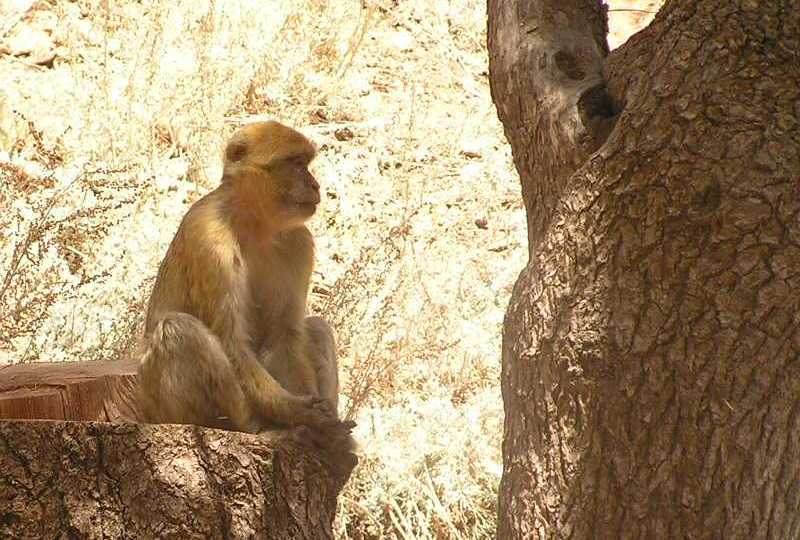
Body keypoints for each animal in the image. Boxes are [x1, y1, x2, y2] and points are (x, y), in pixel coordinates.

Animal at [137, 120, 354, 454]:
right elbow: (231, 339)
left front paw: (316, 421)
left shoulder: (298, 242)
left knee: (316, 327)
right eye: (296, 164)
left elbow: (285, 333)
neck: (252, 222)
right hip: (166, 407)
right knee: (179, 328)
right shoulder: (209, 238)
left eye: (305, 164)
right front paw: (296, 411)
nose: (315, 185)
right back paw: (252, 426)